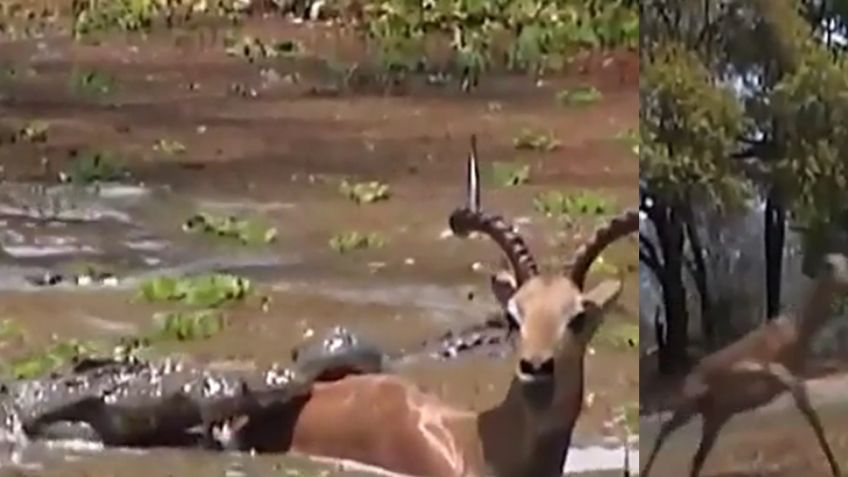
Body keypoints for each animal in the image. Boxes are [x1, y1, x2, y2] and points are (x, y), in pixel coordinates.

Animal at [641, 254, 848, 477]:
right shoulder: (759, 369)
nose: (845, 281)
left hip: (715, 418)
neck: (796, 333)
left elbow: (814, 419)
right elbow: (767, 370)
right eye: (829, 265)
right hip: (690, 406)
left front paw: (837, 469)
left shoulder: (796, 384)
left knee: (696, 457)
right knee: (665, 430)